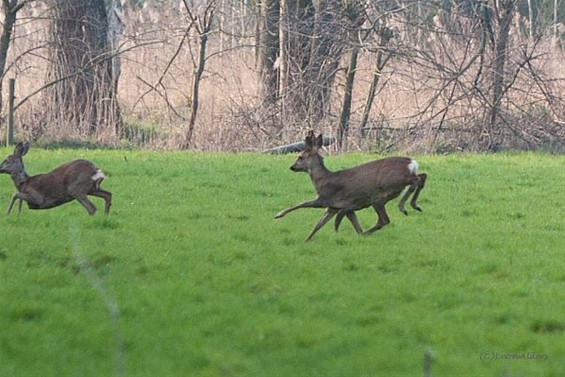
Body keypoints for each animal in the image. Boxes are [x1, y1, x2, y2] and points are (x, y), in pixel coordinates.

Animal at [274, 131, 428, 239]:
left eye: (300, 157)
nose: (292, 167)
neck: (322, 180)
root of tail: (412, 163)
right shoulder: (334, 207)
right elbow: (318, 225)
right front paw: (307, 240)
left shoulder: (324, 199)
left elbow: (302, 204)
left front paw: (278, 215)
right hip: (389, 191)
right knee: (422, 176)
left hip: (387, 188)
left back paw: (405, 206)